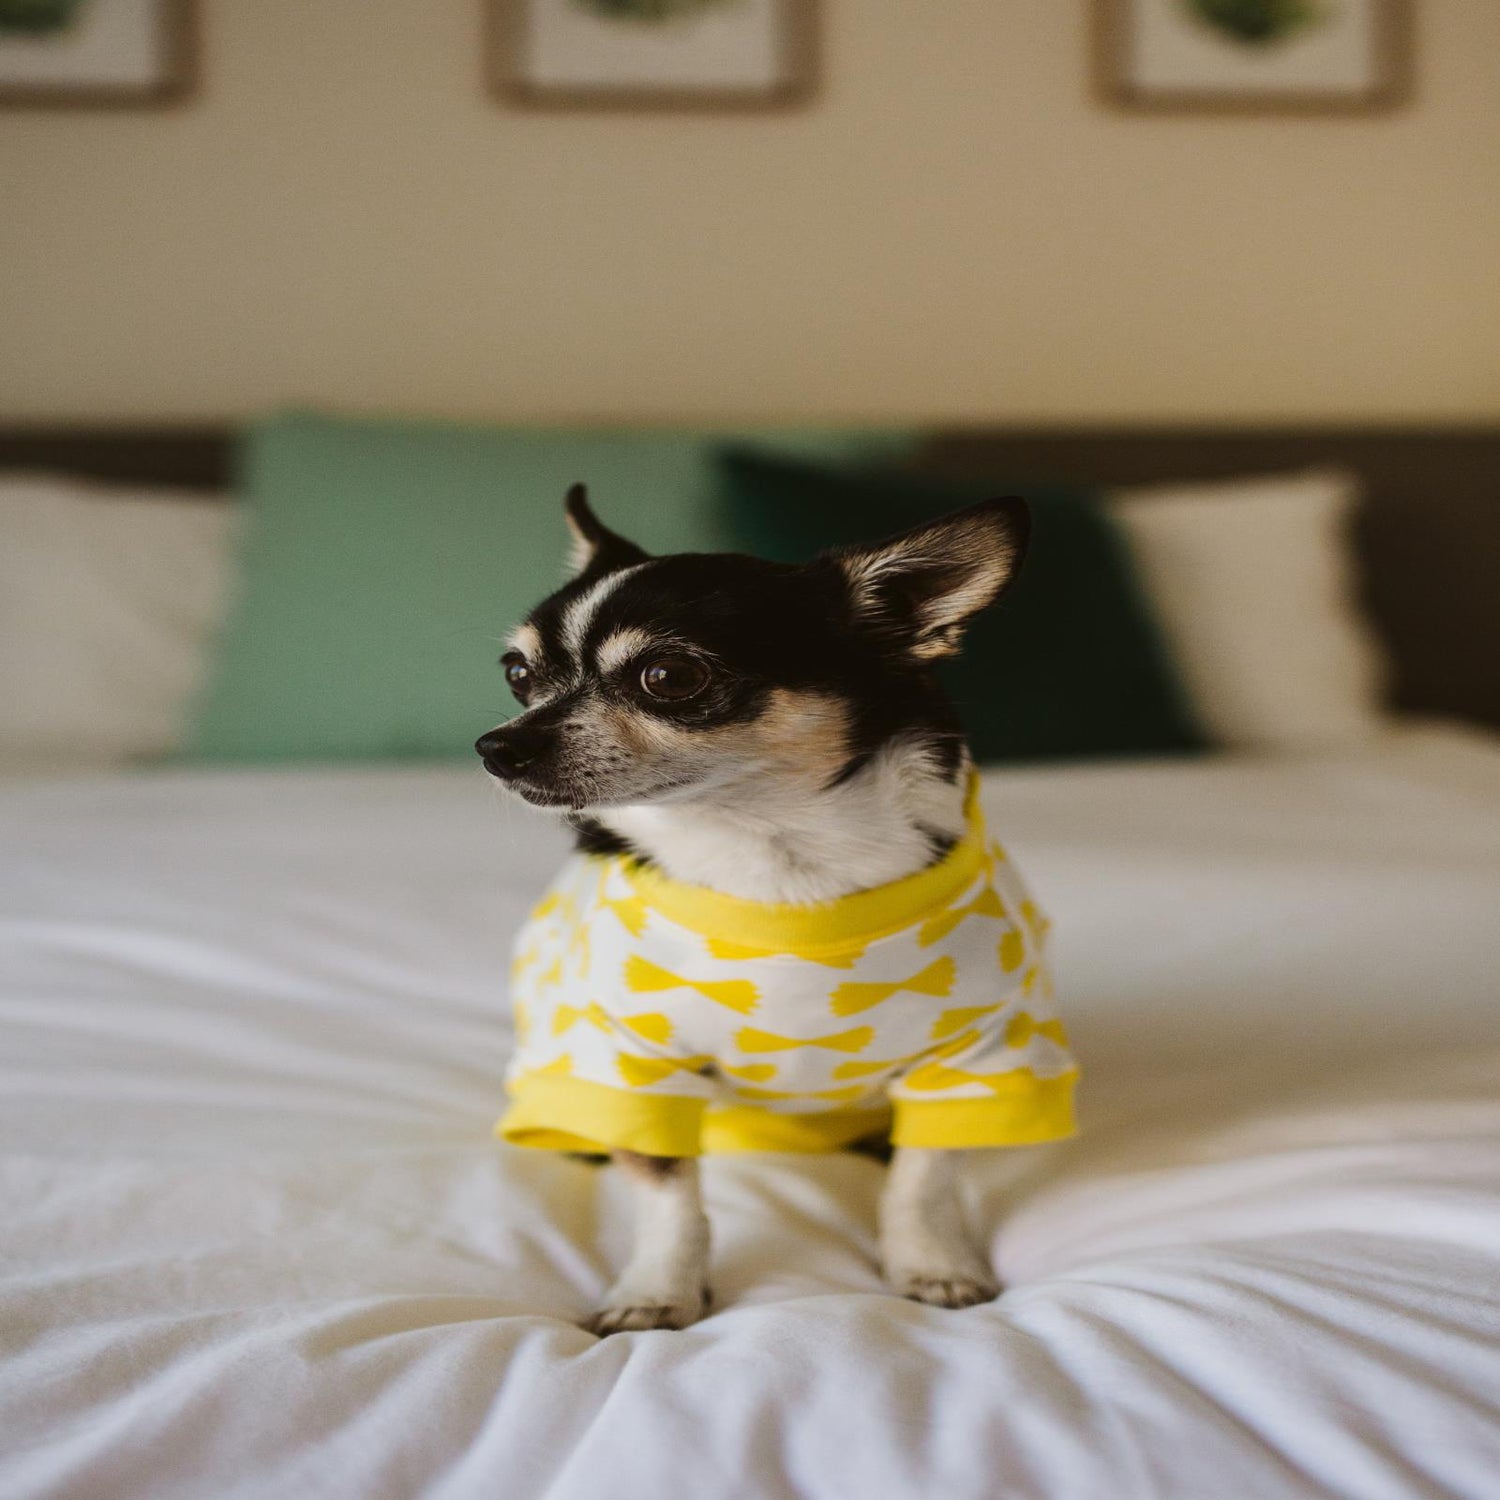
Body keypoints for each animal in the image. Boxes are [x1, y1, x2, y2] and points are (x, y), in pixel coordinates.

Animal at [477, 484, 1077, 1334]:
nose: (497, 747)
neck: (772, 855)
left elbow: (923, 1178)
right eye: (518, 672)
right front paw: (657, 1290)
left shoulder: (972, 1057)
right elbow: (668, 1196)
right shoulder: (633, 1063)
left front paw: (933, 1264)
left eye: (669, 675)